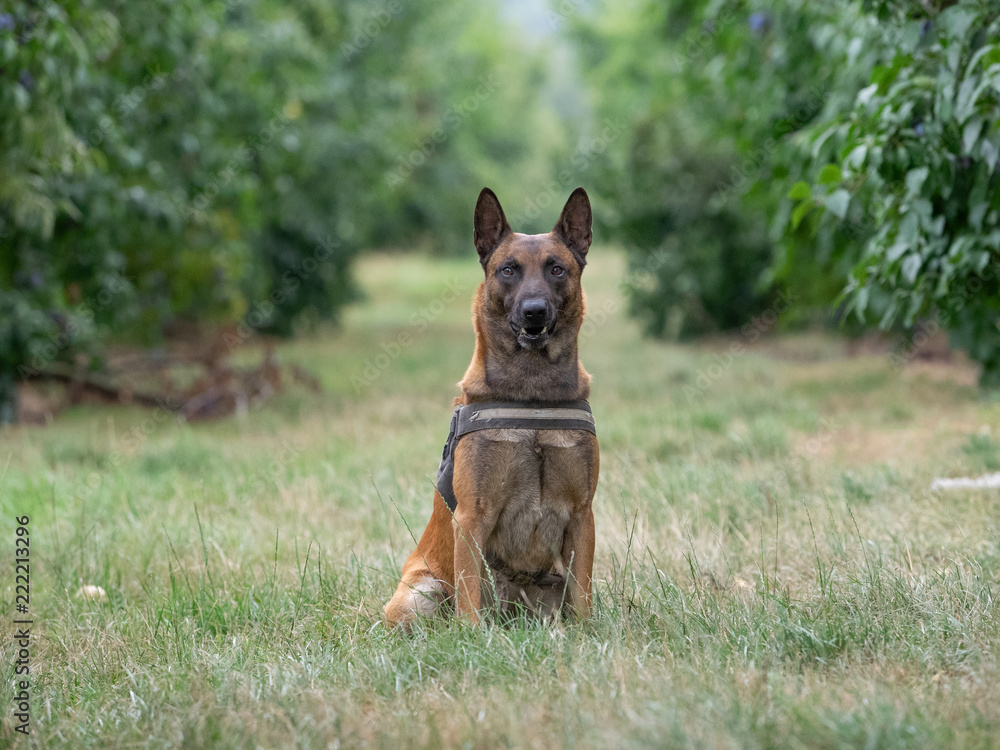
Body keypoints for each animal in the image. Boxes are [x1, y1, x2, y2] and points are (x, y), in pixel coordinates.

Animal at [384, 187, 600, 628]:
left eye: (556, 269)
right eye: (508, 270)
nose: (534, 311)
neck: (533, 396)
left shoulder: (582, 516)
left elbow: (582, 597)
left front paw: (588, 633)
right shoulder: (472, 518)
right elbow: (469, 595)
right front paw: (471, 637)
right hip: (421, 593)